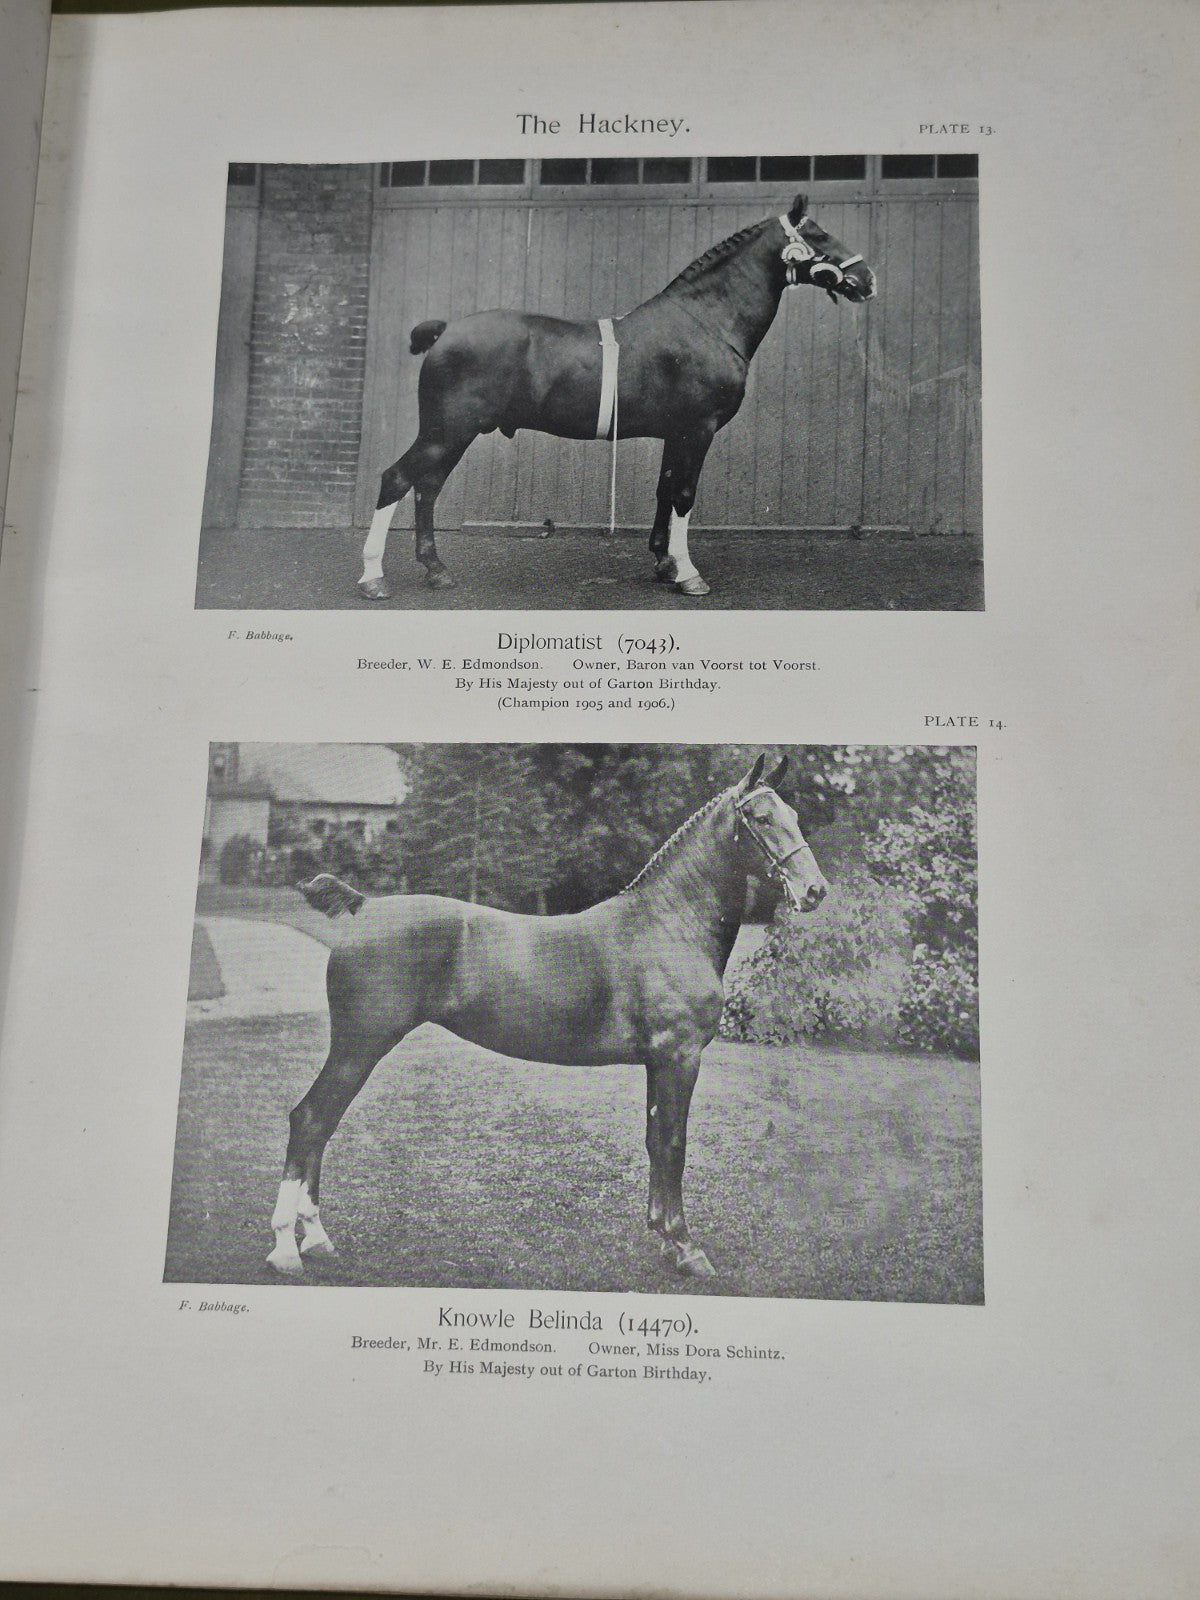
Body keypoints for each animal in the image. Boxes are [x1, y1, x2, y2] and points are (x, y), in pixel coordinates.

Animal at [267, 754, 828, 1281]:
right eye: (761, 817)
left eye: (795, 815)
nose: (815, 890)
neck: (670, 925)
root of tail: (365, 907)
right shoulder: (680, 1057)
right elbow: (674, 1144)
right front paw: (687, 1248)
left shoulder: (658, 1062)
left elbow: (654, 1141)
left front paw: (665, 1238)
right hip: (359, 1046)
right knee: (311, 1119)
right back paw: (287, 1248)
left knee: (320, 1125)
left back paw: (316, 1240)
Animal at [357, 192, 875, 601]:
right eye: (820, 235)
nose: (868, 280)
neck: (707, 321)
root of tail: (445, 330)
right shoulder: (698, 429)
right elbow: (684, 495)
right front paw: (689, 575)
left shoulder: (676, 434)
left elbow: (665, 490)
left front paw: (665, 565)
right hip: (447, 431)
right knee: (397, 480)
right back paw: (374, 579)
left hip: (453, 435)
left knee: (426, 488)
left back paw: (436, 571)